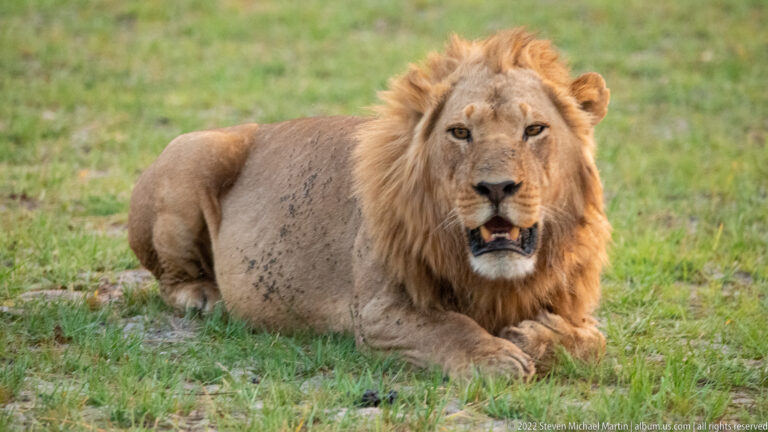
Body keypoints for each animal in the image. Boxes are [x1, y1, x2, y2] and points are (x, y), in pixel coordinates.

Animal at [128, 29, 611, 378]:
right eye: (460, 132)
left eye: (534, 130)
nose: (496, 187)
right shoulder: (378, 313)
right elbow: (448, 327)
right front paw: (498, 357)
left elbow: (594, 341)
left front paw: (535, 337)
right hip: (195, 151)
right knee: (171, 277)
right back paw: (202, 296)